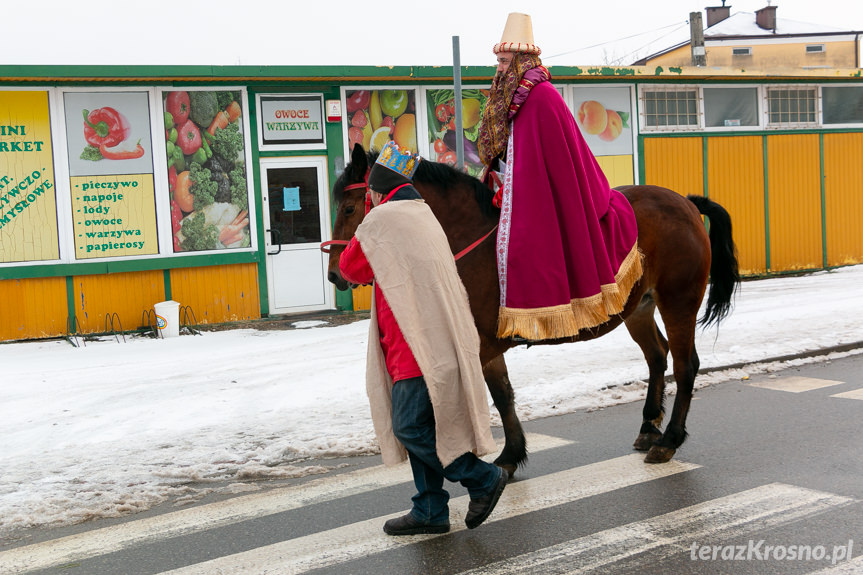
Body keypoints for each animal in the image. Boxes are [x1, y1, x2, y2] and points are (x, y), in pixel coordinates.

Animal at [328, 145, 740, 476]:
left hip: (678, 301)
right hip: (639, 307)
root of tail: (685, 202)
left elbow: (489, 397)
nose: (335, 274)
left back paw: (669, 440)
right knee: (658, 356)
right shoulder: (485, 347)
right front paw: (511, 454)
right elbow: (504, 396)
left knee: (685, 366)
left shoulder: (478, 344)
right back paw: (648, 427)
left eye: (349, 208)